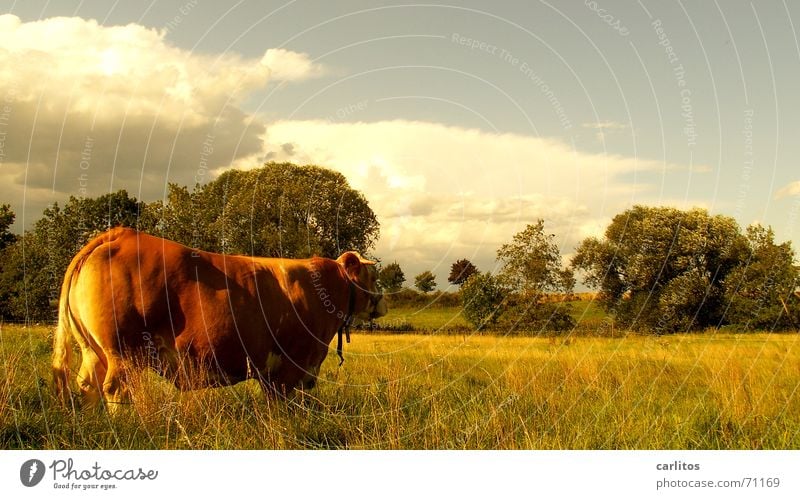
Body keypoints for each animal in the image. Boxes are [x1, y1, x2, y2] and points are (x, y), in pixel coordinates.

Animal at [51, 229, 390, 408]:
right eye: (373, 276)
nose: (384, 302)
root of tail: (121, 234)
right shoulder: (292, 365)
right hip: (123, 352)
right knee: (115, 390)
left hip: (93, 350)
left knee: (88, 385)